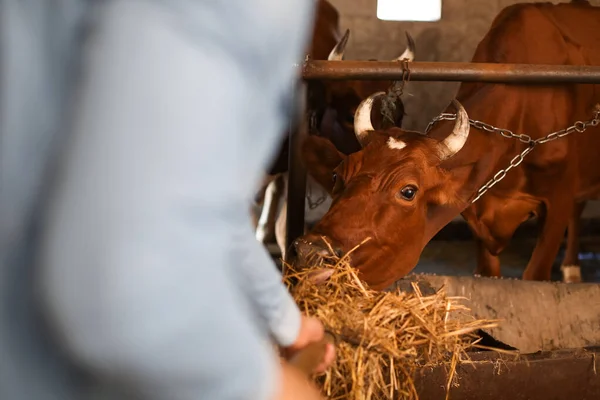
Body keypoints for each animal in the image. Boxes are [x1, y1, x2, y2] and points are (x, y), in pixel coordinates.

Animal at [290, 0, 600, 290]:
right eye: (337, 175)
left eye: (408, 191)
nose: (311, 250)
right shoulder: (478, 214)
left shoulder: (557, 204)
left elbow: (536, 274)